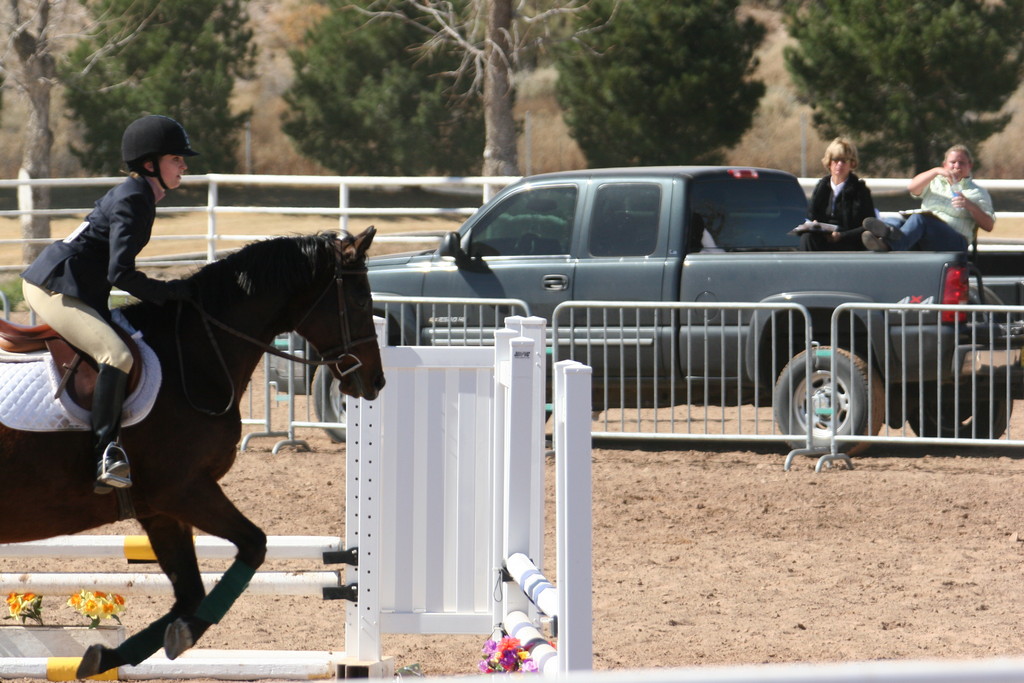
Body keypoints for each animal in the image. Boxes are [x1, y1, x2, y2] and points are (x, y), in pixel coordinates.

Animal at [0, 227, 385, 675]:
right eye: (361, 301)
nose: (376, 381)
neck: (196, 354)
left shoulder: (160, 509)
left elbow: (189, 592)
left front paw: (110, 655)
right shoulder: (184, 489)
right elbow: (253, 545)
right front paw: (182, 633)